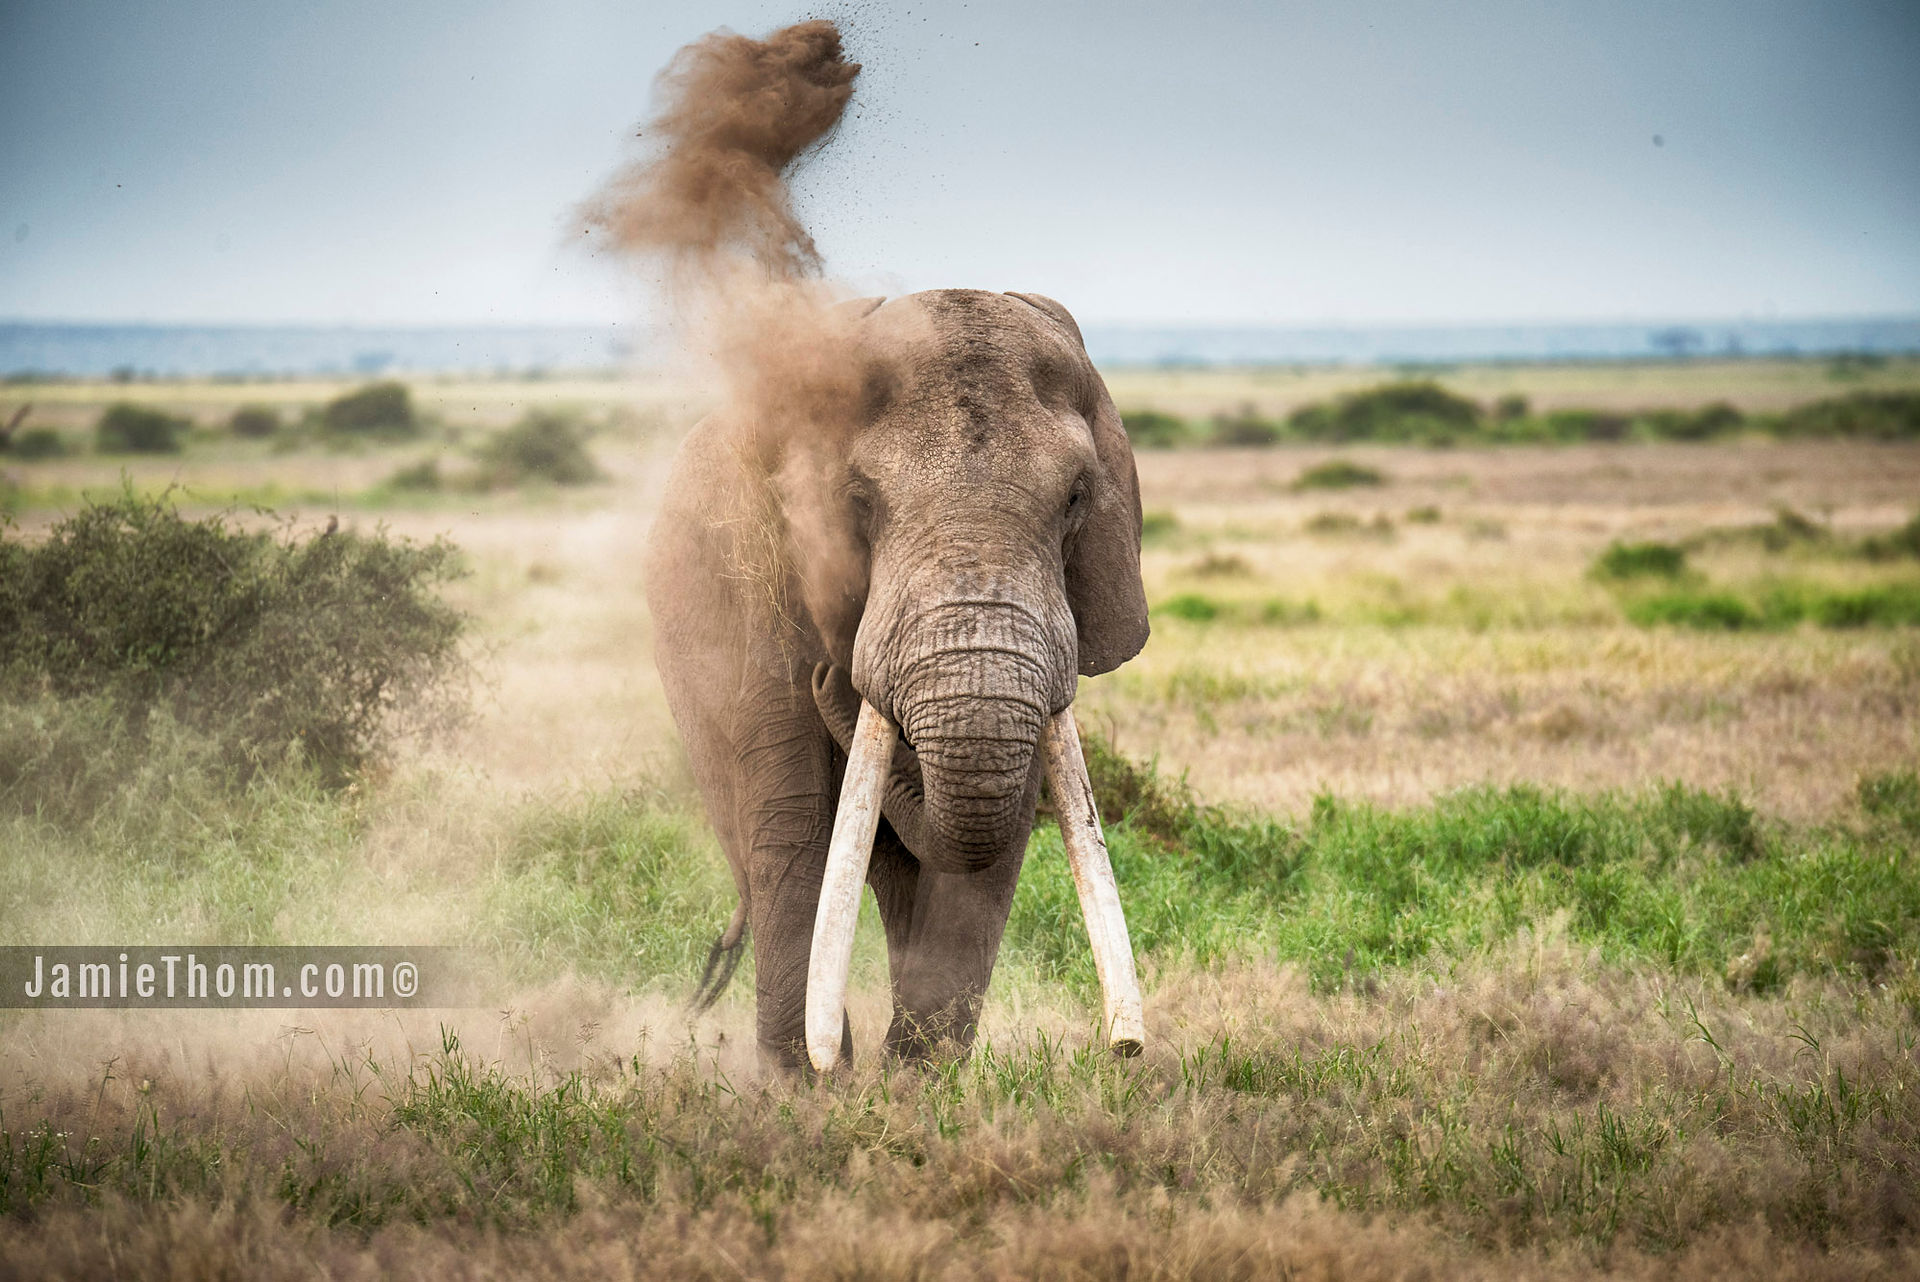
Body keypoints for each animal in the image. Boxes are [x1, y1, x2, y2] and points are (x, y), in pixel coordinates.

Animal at [646, 287, 1149, 1071]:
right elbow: (792, 815)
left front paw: (913, 1088)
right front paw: (810, 1085)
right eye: (856, 499)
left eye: (1075, 498)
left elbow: (991, 847)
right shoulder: (763, 586)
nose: (834, 676)